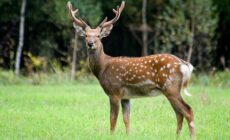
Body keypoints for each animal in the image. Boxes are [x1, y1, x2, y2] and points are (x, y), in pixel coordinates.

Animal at [67, 1, 195, 139]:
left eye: (98, 36)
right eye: (86, 35)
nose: (90, 43)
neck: (102, 68)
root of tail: (185, 65)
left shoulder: (114, 91)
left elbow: (113, 119)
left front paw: (111, 135)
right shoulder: (126, 96)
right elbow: (126, 119)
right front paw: (128, 135)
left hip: (171, 87)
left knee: (188, 111)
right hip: (172, 90)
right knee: (179, 113)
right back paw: (177, 136)